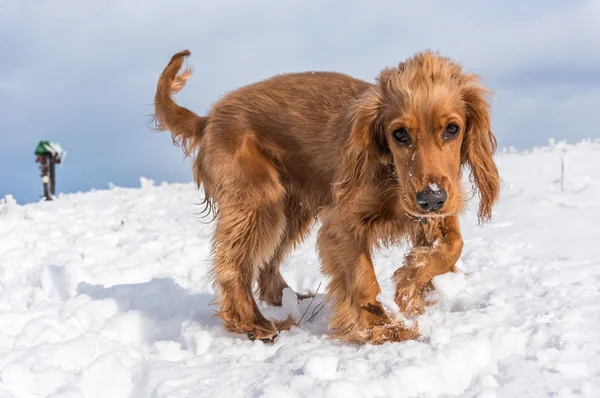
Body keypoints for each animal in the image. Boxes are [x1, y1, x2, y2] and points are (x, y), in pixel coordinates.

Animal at [152, 49, 500, 342]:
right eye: (399, 134)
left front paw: (412, 288)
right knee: (234, 264)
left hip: (291, 209)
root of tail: (207, 120)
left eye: (452, 129)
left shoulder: (438, 213)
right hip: (259, 201)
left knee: (267, 263)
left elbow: (452, 247)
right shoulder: (341, 224)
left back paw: (290, 300)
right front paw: (382, 329)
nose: (431, 198)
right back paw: (254, 323)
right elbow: (363, 279)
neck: (392, 175)